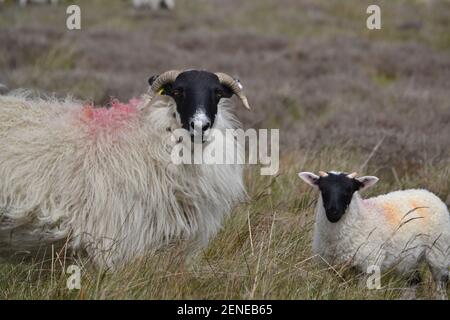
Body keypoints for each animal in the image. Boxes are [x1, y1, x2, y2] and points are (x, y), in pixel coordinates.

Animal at [298, 171, 448, 298]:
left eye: (349, 190)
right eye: (323, 189)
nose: (333, 212)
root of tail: (426, 192)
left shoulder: (369, 264)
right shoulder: (332, 267)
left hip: (438, 253)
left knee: (440, 284)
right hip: (409, 259)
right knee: (413, 282)